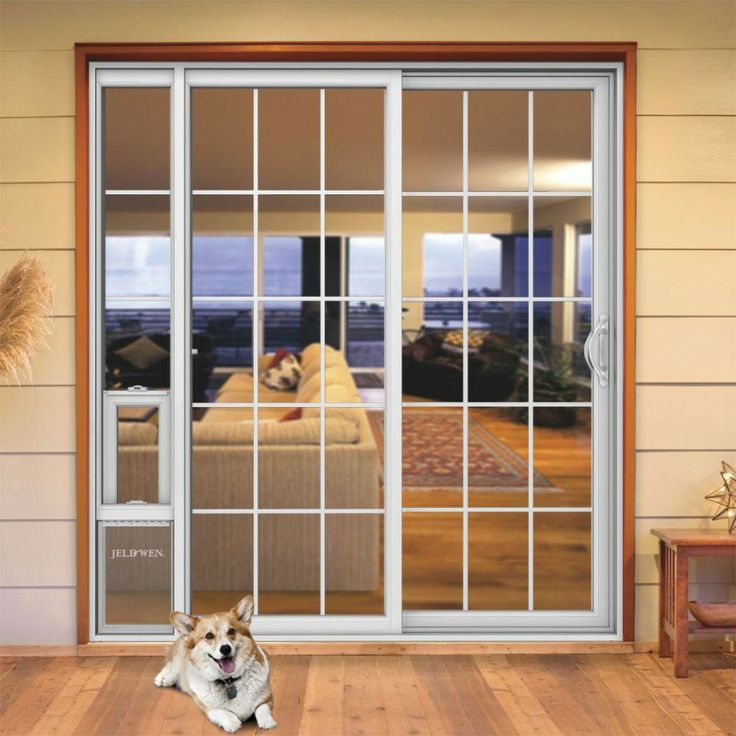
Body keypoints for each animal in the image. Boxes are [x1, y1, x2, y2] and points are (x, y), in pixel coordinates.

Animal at [152, 600, 276, 732]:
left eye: (231, 631)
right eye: (209, 636)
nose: (225, 649)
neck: (229, 681)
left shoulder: (267, 698)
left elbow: (262, 708)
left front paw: (267, 721)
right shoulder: (209, 708)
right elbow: (223, 712)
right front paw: (232, 722)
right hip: (181, 654)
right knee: (173, 664)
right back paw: (164, 678)